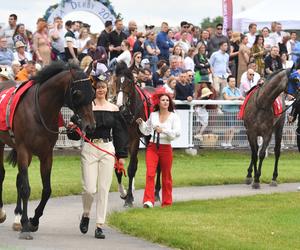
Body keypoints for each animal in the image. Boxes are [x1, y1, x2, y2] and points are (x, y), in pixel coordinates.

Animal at [0, 61, 95, 239]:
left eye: (93, 93)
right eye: (77, 93)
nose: (90, 126)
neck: (38, 111)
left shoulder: (46, 154)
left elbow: (46, 190)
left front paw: (33, 220)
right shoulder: (24, 150)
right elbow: (26, 188)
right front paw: (25, 225)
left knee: (18, 178)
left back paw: (16, 217)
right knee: (3, 174)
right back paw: (2, 213)